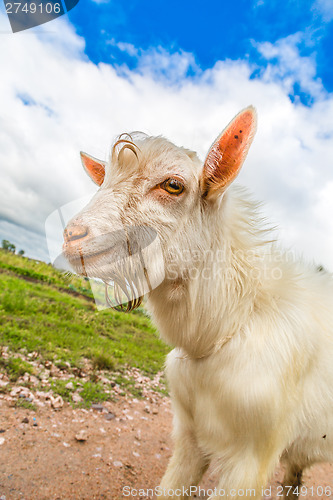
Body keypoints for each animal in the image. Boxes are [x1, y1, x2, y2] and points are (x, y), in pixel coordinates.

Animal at [61, 109, 332, 500]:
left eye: (174, 185)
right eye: (103, 181)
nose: (73, 236)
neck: (228, 326)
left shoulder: (252, 457)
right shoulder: (189, 435)